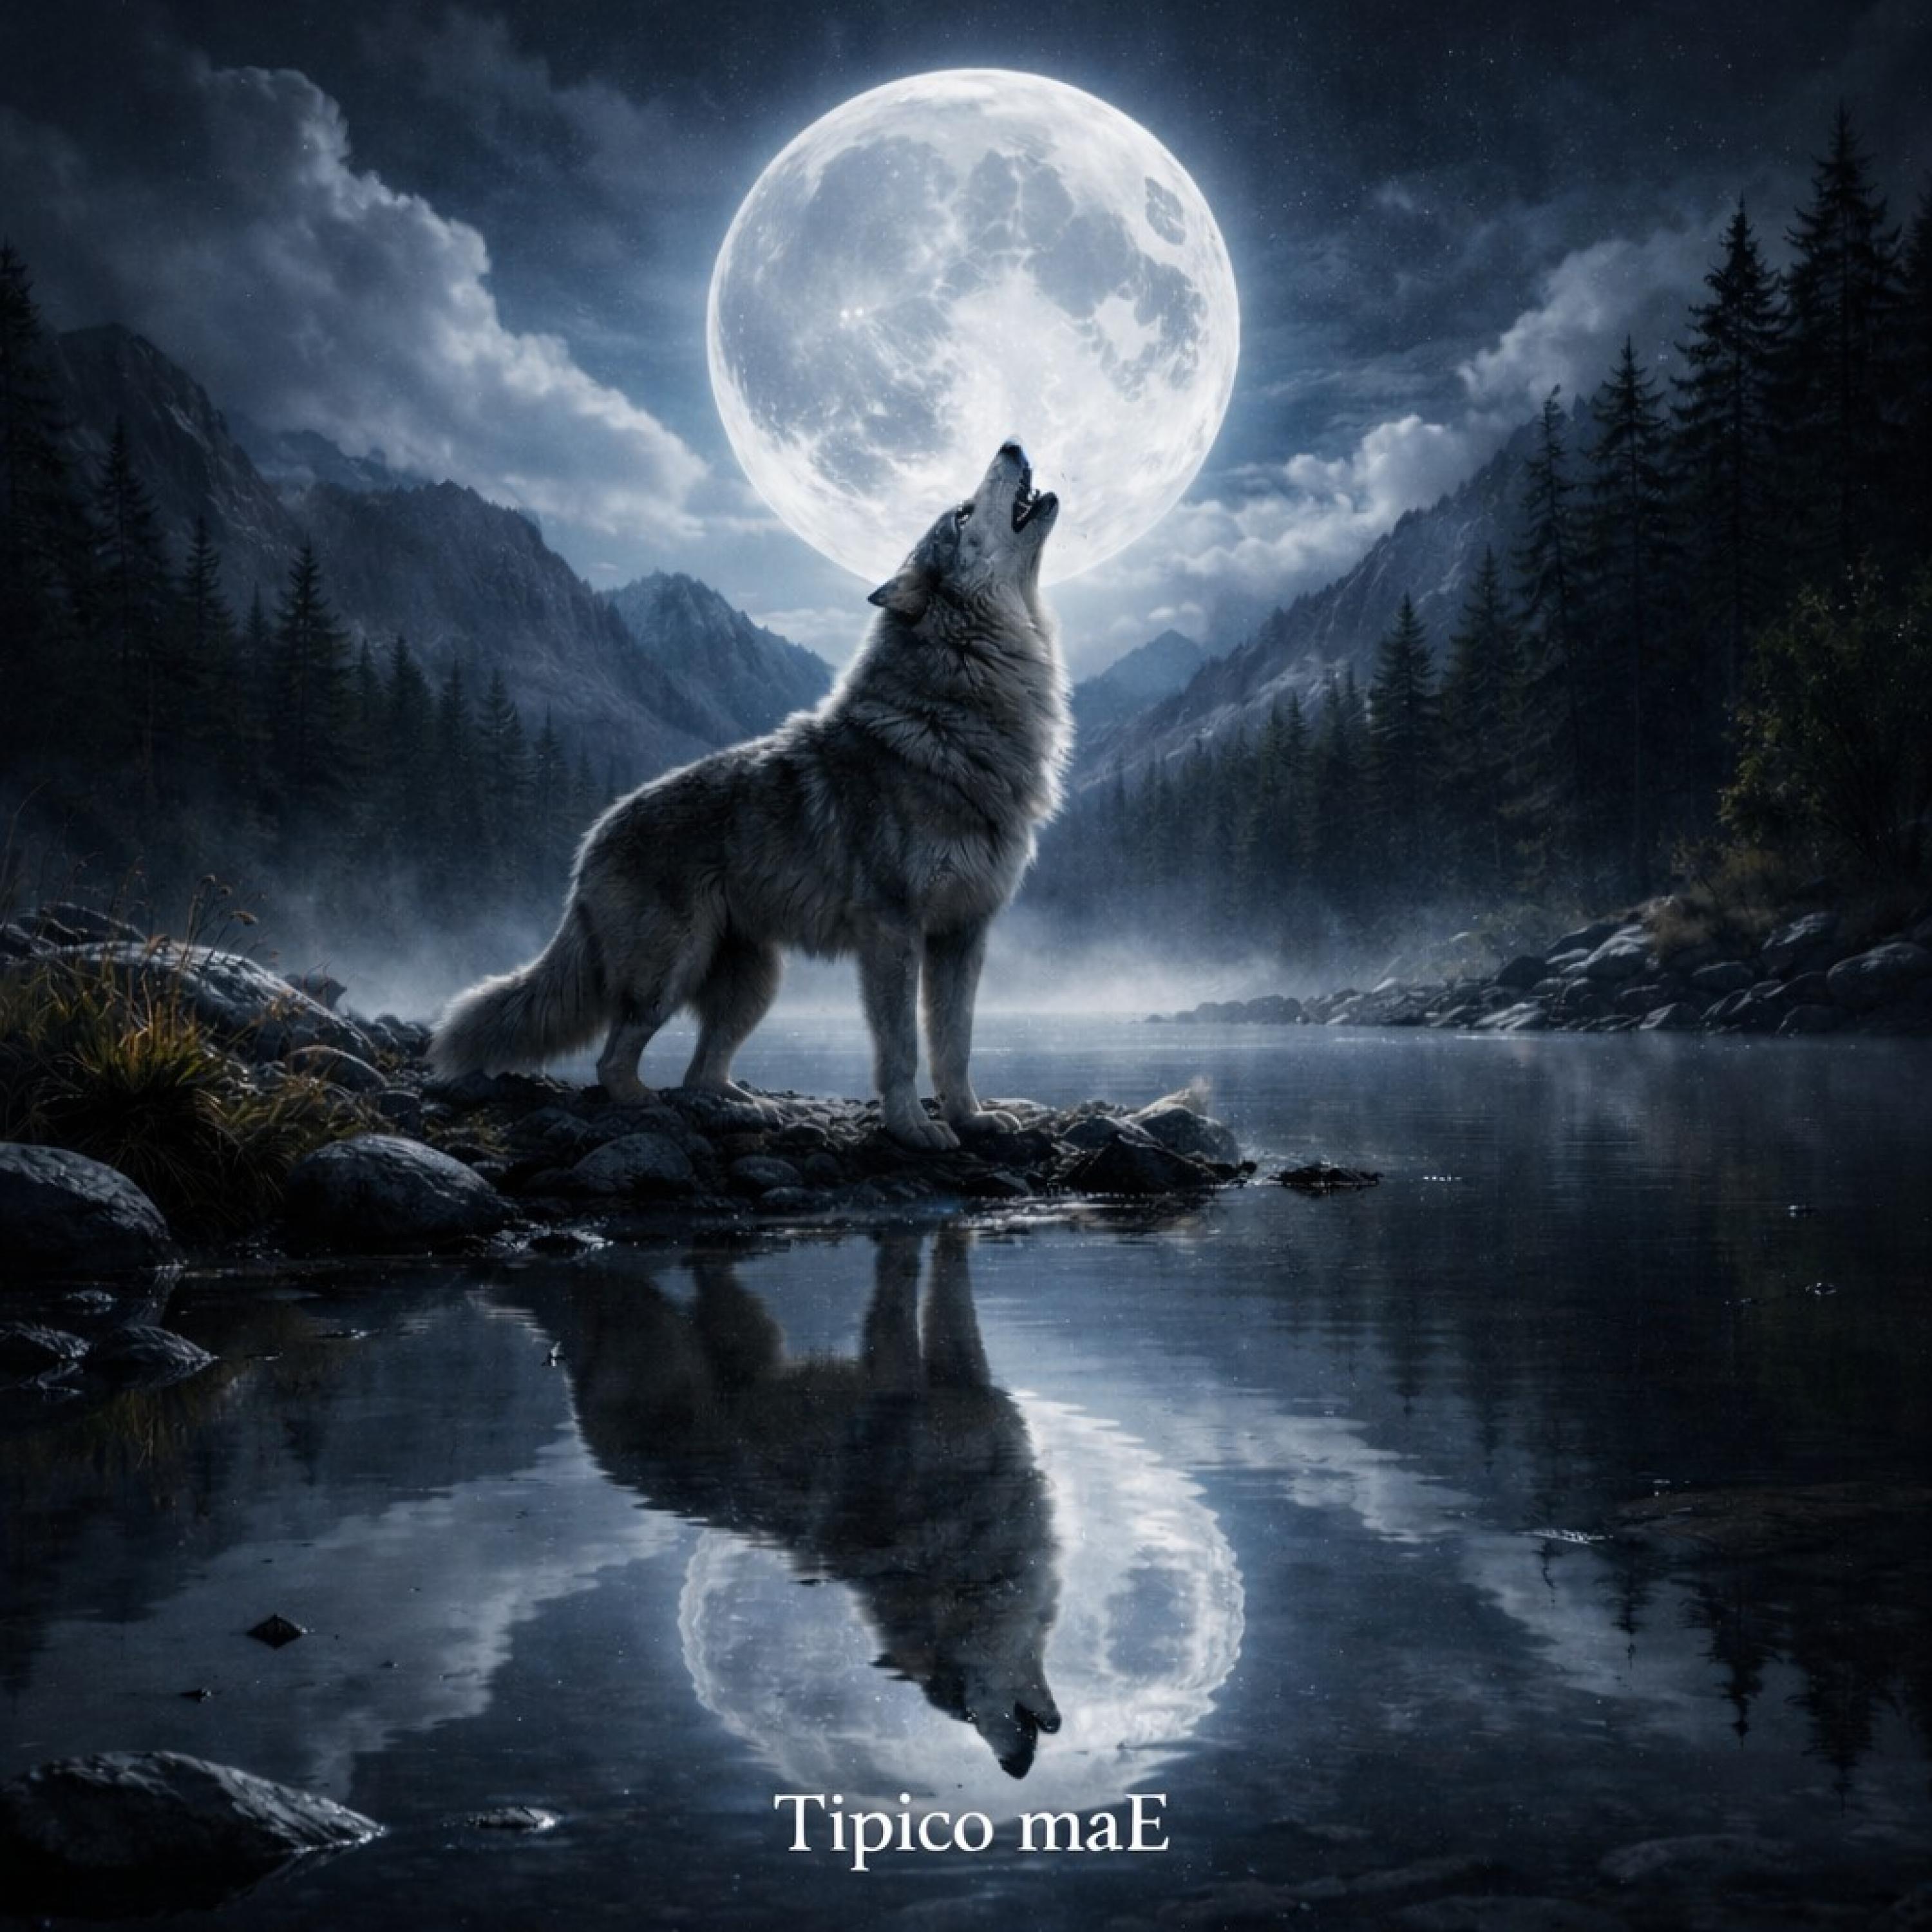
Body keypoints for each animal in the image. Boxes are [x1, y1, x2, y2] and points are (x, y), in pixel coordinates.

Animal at [430, 441, 1067, 1147]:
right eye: (961, 513)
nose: (1010, 444)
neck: (954, 711)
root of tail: (591, 841)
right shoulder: (892, 931)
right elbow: (901, 1047)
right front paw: (911, 1129)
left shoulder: (963, 936)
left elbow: (956, 1042)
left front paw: (972, 1119)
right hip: (669, 974)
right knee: (614, 1059)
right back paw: (649, 1106)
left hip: (757, 981)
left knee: (702, 1071)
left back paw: (748, 1107)